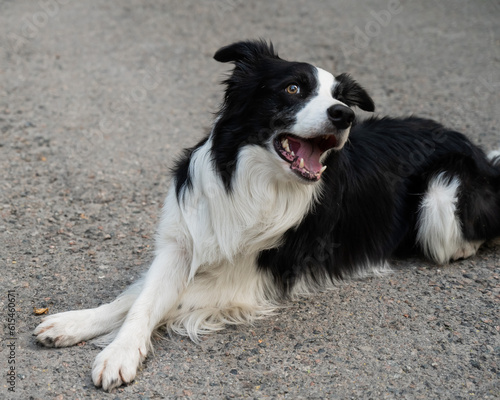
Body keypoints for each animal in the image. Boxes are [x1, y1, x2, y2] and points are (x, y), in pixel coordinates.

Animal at [35, 40, 500, 390]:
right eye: (293, 89)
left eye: (339, 98)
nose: (344, 115)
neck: (254, 182)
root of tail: (480, 152)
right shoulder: (182, 242)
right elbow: (139, 297)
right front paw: (80, 326)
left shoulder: (249, 279)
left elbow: (164, 299)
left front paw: (115, 351)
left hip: (441, 198)